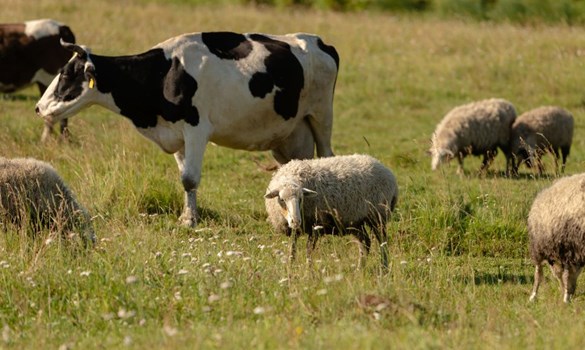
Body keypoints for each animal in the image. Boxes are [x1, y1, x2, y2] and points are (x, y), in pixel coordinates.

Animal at [36, 30, 338, 227]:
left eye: (65, 74)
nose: (38, 108)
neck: (164, 74)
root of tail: (319, 41)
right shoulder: (176, 135)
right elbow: (184, 178)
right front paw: (186, 215)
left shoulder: (196, 130)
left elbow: (190, 178)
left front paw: (190, 221)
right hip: (289, 134)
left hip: (321, 116)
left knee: (327, 156)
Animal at [264, 154, 396, 270]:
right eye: (281, 199)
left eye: (301, 198)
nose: (296, 221)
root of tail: (386, 170)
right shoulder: (294, 231)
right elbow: (292, 250)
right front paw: (290, 269)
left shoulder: (315, 226)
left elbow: (308, 251)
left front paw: (308, 272)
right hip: (356, 221)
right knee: (365, 243)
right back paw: (359, 269)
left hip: (378, 215)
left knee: (382, 242)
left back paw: (384, 268)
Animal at [528, 174, 585, 302]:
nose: (573, 292)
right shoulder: (569, 248)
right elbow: (565, 275)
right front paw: (566, 298)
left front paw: (566, 295)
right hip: (538, 246)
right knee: (539, 271)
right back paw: (533, 295)